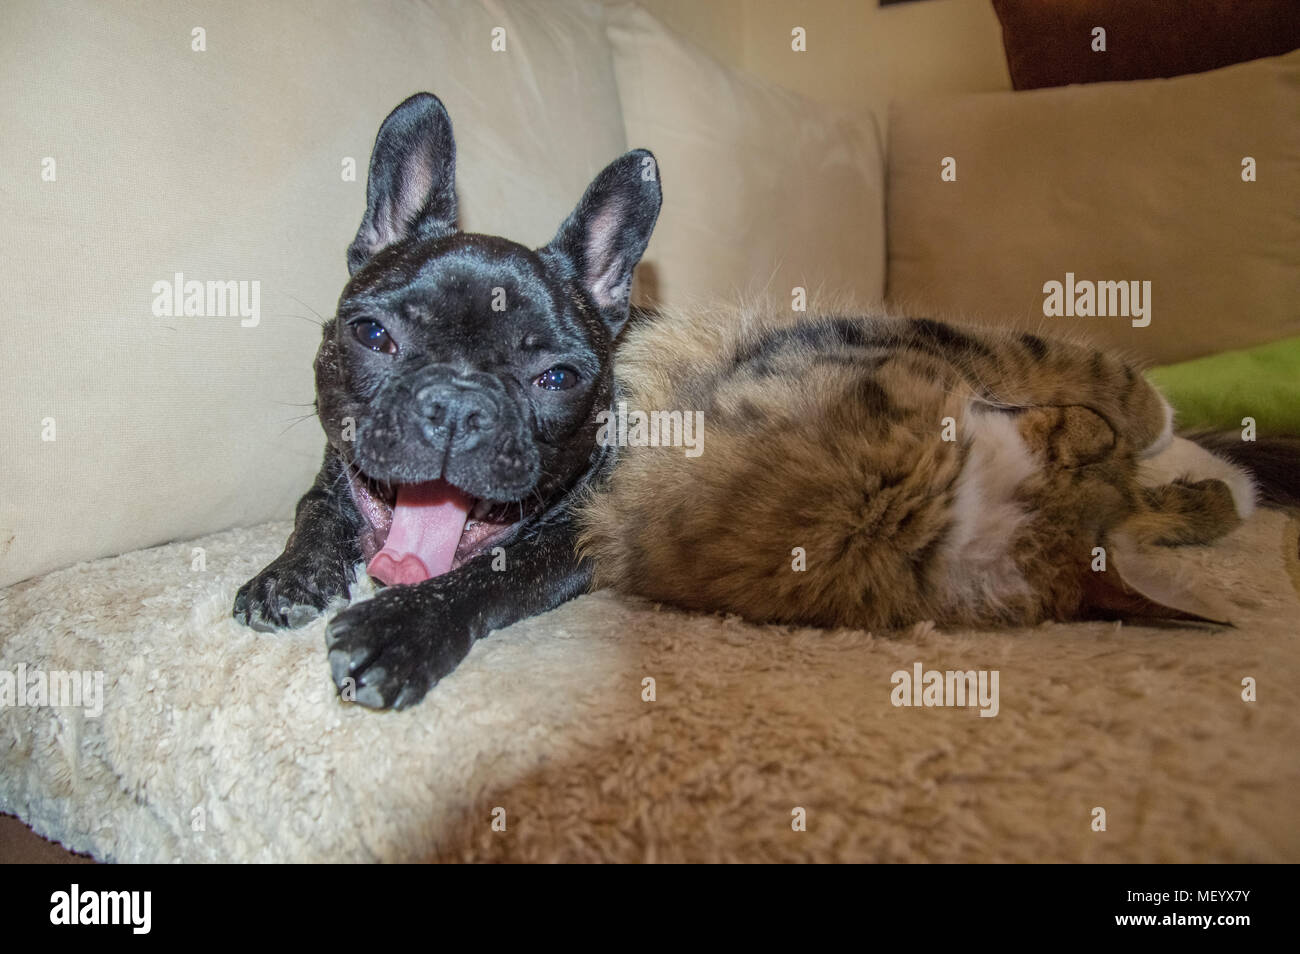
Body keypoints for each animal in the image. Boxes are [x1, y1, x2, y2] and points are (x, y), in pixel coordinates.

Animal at [231, 95, 660, 712]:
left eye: (556, 377)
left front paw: (401, 629)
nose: (457, 405)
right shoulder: (332, 475)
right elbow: (313, 513)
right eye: (373, 335)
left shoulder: (575, 541)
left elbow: (487, 577)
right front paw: (289, 574)